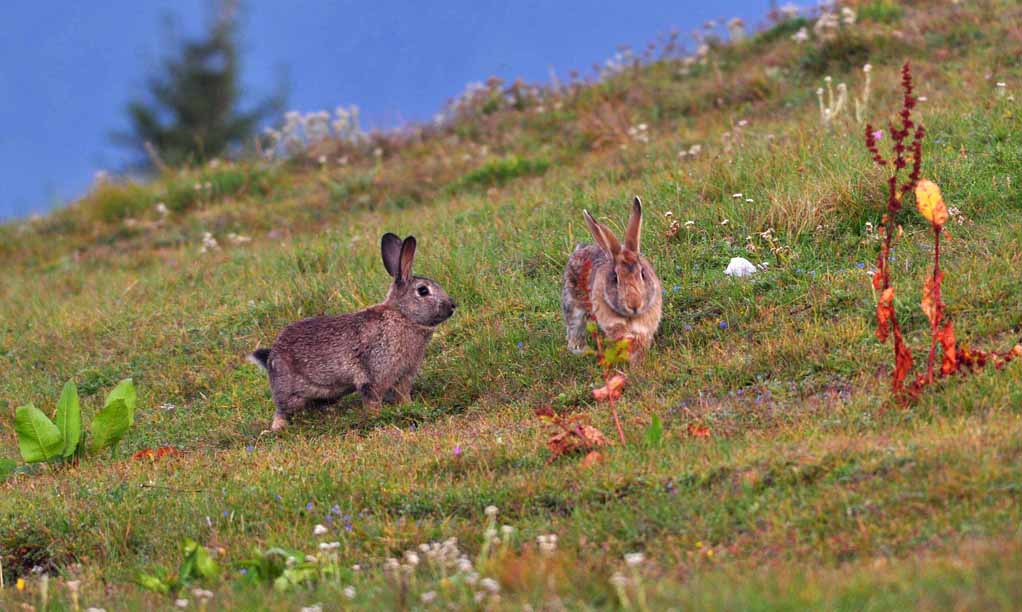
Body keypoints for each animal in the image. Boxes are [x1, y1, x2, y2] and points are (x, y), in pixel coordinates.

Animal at [247, 233, 455, 431]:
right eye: (423, 291)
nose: (452, 305)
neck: (403, 315)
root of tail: (271, 356)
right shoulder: (374, 374)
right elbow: (372, 399)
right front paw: (376, 417)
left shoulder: (404, 376)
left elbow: (403, 396)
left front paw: (410, 407)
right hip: (288, 391)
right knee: (281, 410)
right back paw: (278, 428)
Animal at [560, 196, 662, 359]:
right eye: (615, 278)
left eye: (643, 273)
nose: (634, 304)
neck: (631, 316)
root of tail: (579, 250)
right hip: (572, 304)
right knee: (574, 328)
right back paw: (580, 349)